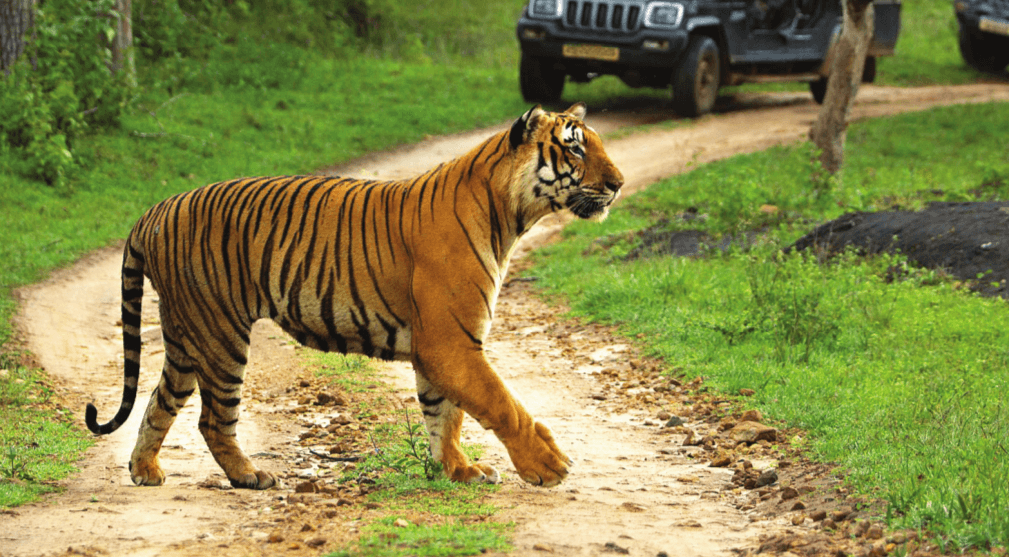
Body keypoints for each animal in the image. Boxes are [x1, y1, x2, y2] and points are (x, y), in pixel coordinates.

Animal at [85, 103, 624, 489]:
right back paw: (250, 476)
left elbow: (445, 414)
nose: (618, 185)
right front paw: (547, 465)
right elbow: (501, 403)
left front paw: (458, 470)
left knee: (158, 402)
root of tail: (155, 210)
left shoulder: (442, 345)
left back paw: (145, 470)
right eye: (575, 150)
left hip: (185, 336)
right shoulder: (451, 342)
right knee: (214, 420)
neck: (509, 214)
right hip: (220, 334)